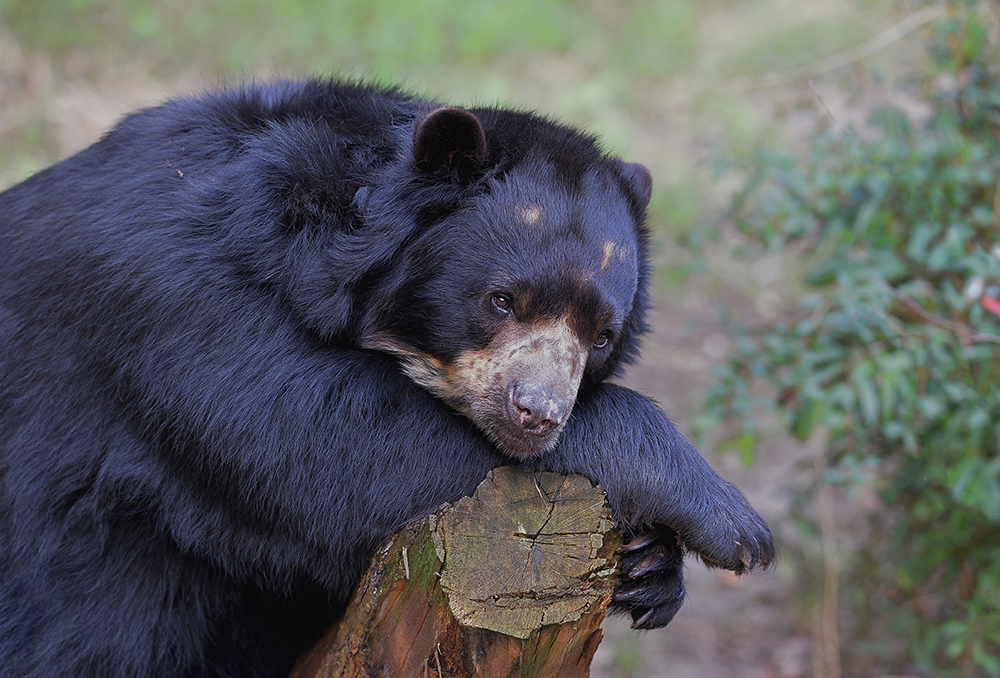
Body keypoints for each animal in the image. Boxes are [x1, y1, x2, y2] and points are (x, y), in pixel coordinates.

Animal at [0, 81, 772, 678]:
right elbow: (311, 440)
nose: (537, 414)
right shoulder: (173, 294)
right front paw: (735, 527)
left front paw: (652, 568)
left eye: (602, 335)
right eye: (502, 300)